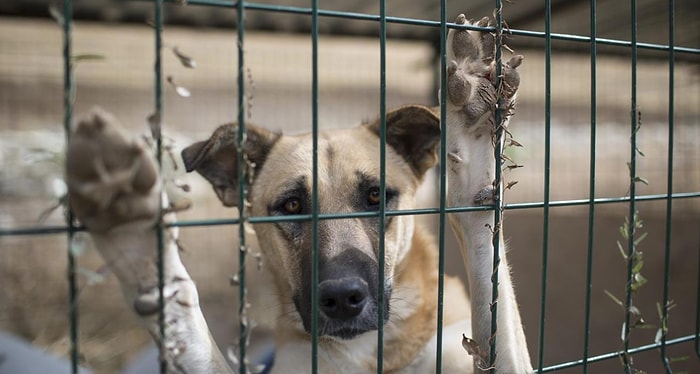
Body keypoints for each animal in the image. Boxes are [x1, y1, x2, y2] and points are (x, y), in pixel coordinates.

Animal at [68, 12, 532, 374]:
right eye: (291, 205)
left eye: (376, 197)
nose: (342, 299)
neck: (364, 351)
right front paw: (138, 244)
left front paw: (473, 142)